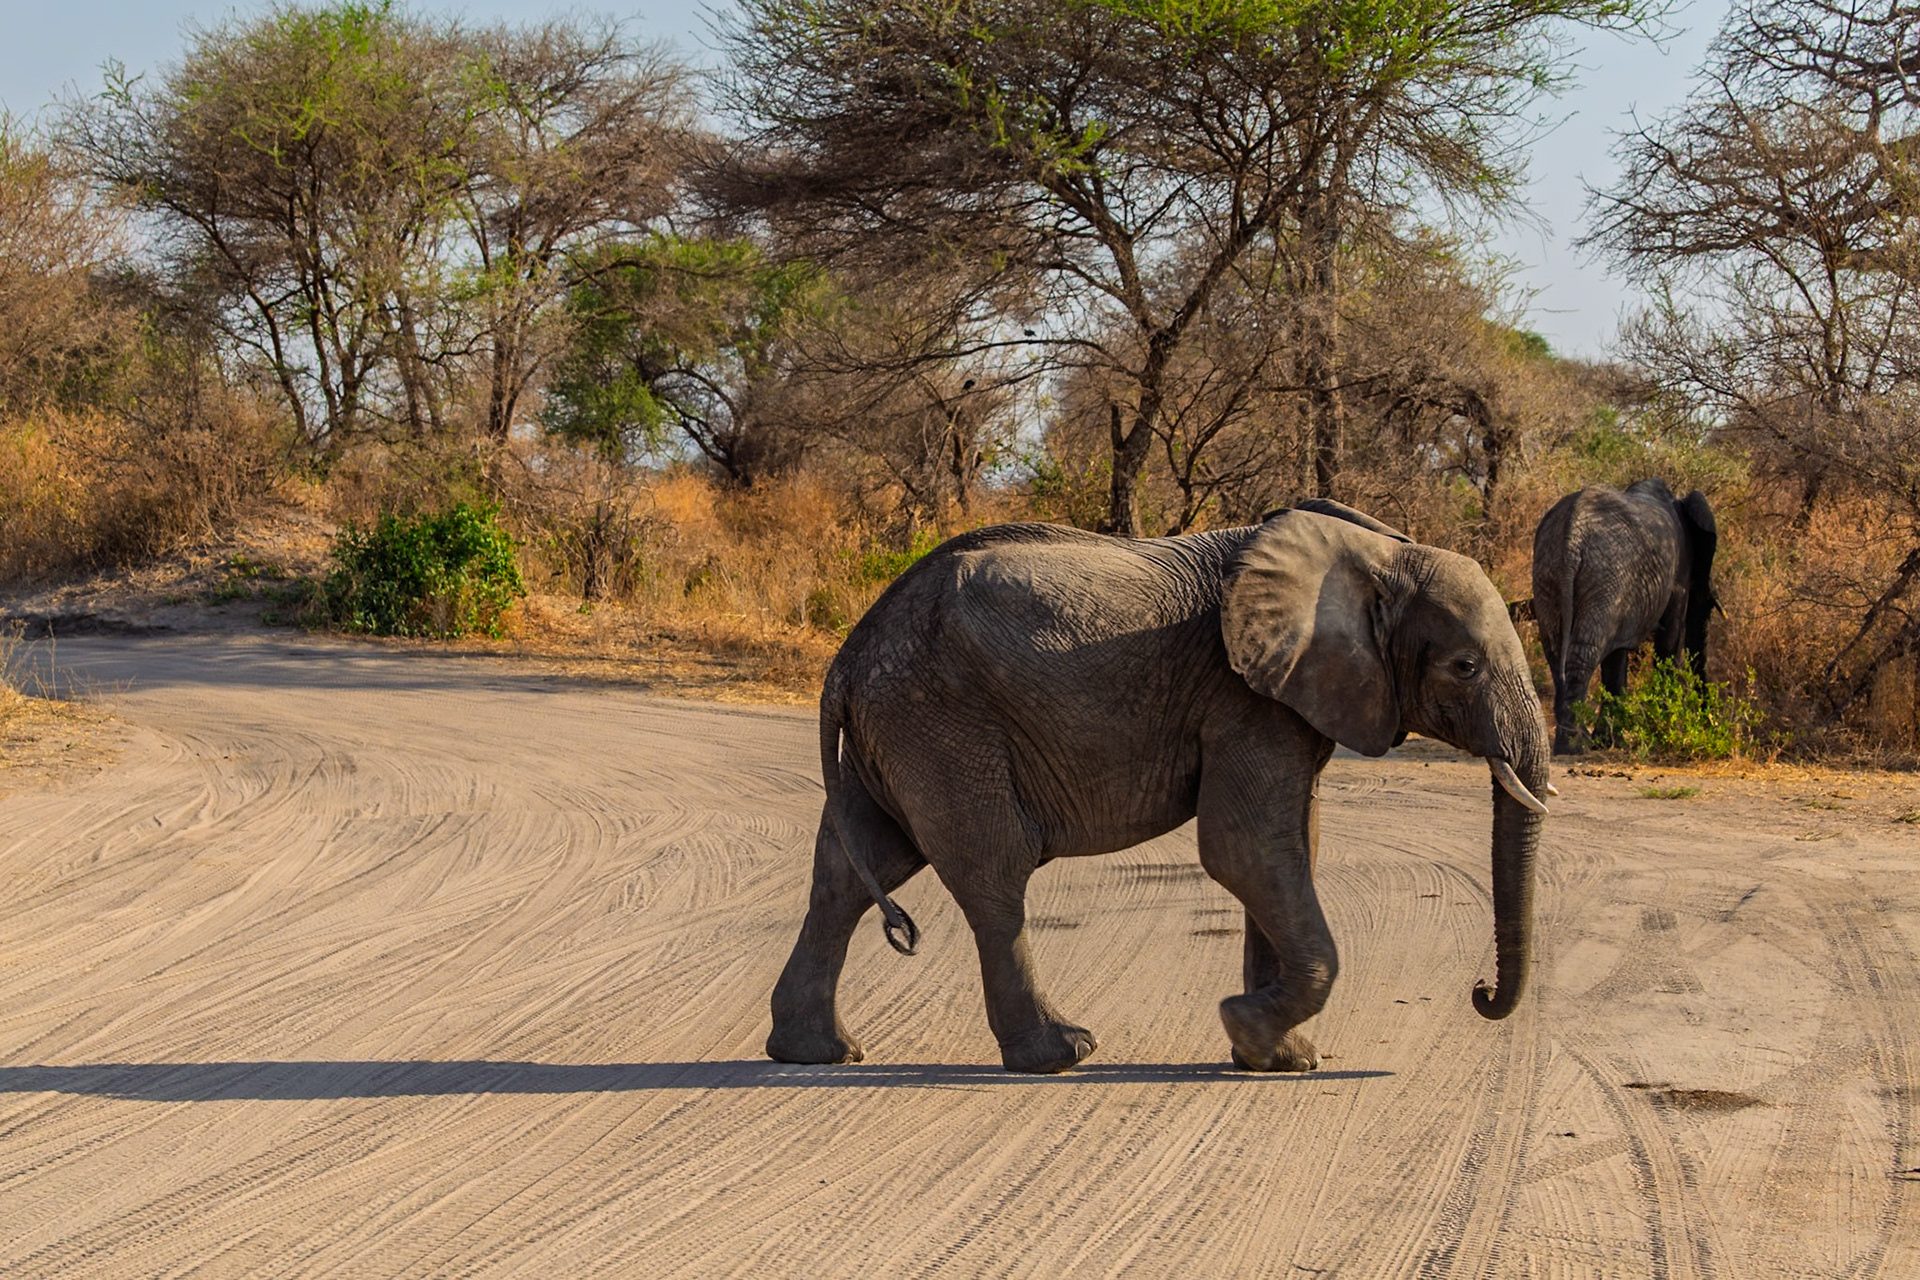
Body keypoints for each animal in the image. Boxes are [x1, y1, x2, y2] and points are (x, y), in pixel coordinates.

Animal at [766, 500, 1553, 1076]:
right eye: (1464, 666)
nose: (1480, 992)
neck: (1377, 554)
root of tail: (850, 653)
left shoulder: (1285, 700)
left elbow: (1290, 846)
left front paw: (1276, 1059)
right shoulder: (1244, 699)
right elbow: (1246, 851)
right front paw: (1247, 1026)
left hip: (896, 731)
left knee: (851, 871)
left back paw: (817, 1053)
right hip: (941, 725)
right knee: (992, 873)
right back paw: (1060, 1054)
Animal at [1531, 479, 1718, 755]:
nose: (1708, 722)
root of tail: (1570, 537)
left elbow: (1616, 658)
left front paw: (1610, 741)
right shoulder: (1678, 575)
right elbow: (1670, 640)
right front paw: (1664, 731)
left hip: (1549, 574)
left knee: (1556, 652)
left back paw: (1574, 741)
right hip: (1605, 576)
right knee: (1584, 652)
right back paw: (1573, 747)